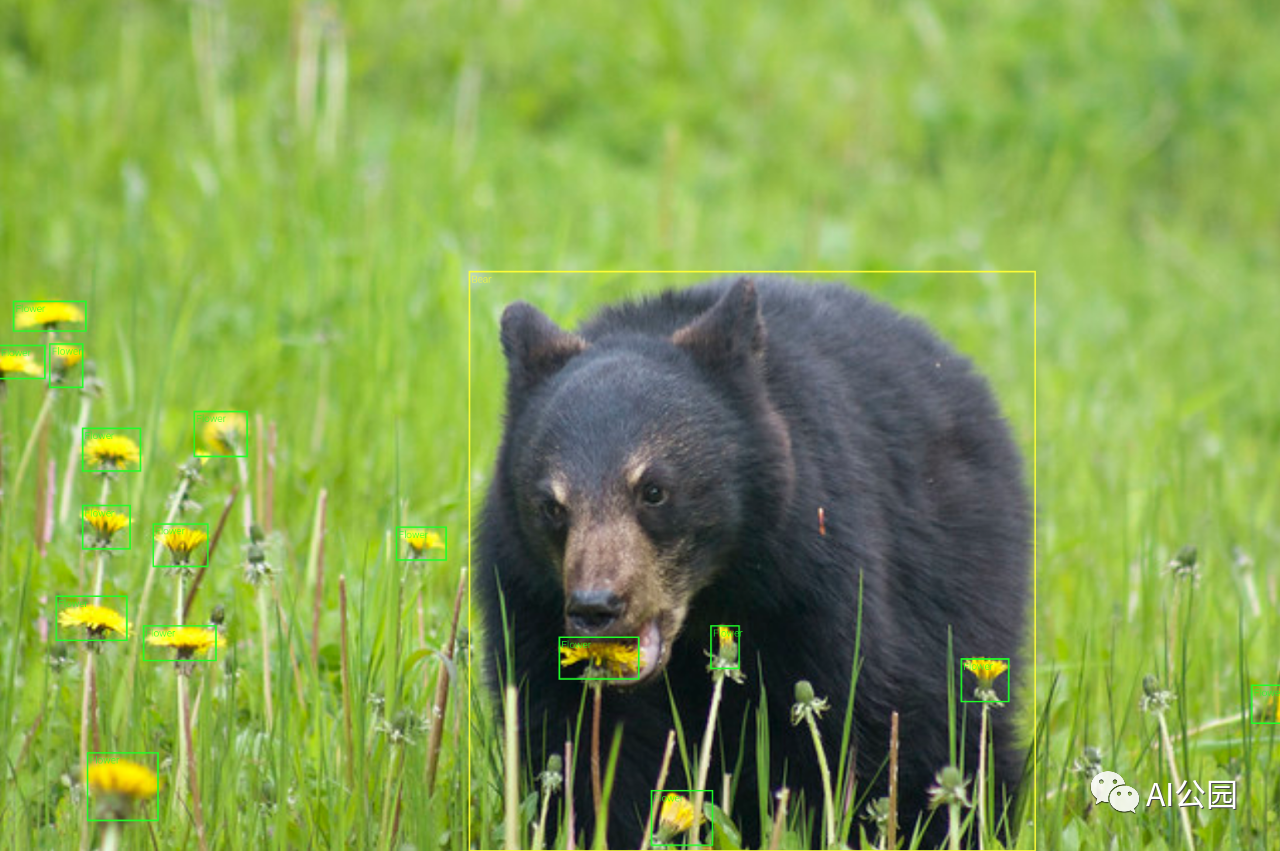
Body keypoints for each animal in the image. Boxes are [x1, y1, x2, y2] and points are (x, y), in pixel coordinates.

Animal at [478, 275, 1029, 844]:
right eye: (551, 506)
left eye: (654, 490)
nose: (596, 607)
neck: (710, 599)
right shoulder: (528, 600)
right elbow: (573, 736)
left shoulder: (812, 580)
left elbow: (857, 715)